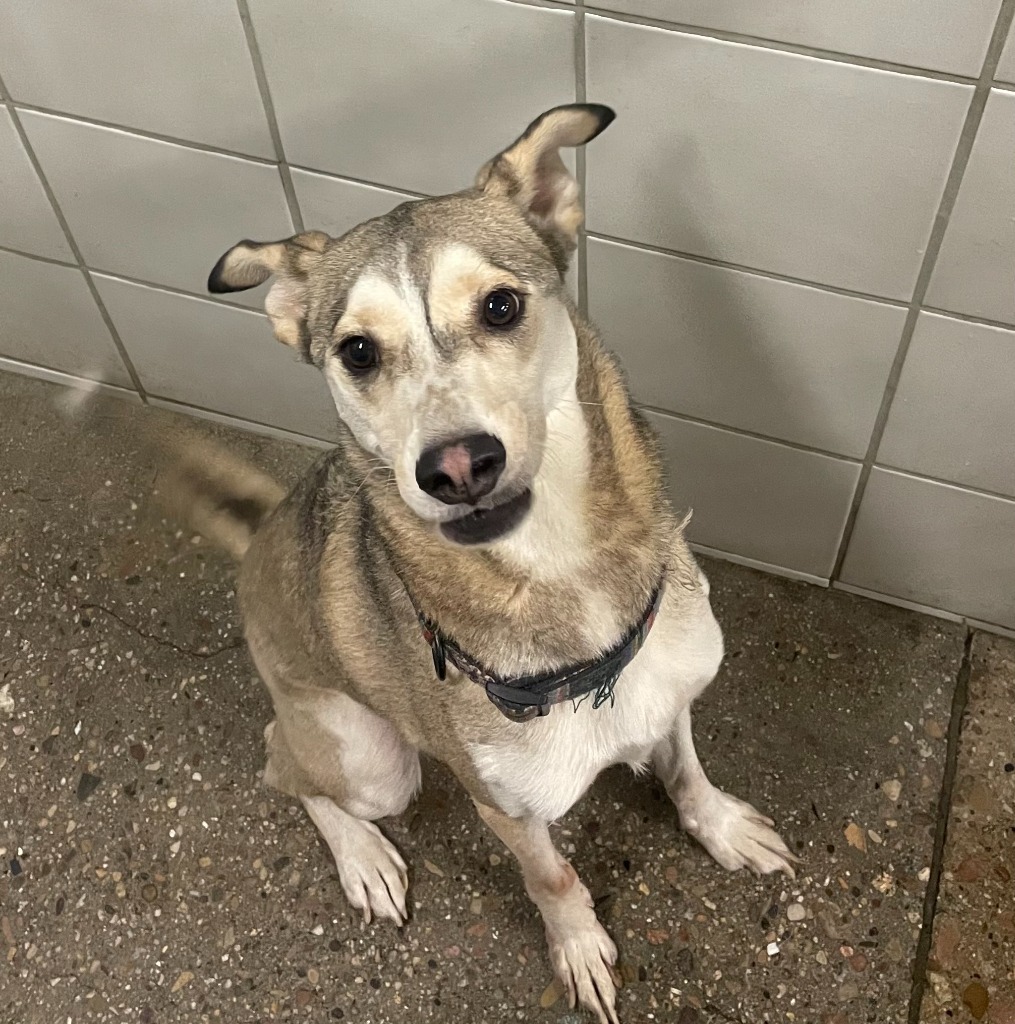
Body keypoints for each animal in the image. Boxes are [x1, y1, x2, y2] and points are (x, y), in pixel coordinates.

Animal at [173, 105, 802, 1024]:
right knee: (281, 763)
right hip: (374, 764)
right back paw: (363, 859)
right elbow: (554, 878)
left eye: (500, 305)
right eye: (356, 352)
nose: (457, 467)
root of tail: (259, 539)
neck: (562, 577)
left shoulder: (670, 690)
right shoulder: (503, 808)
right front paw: (577, 949)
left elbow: (686, 770)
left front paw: (718, 826)